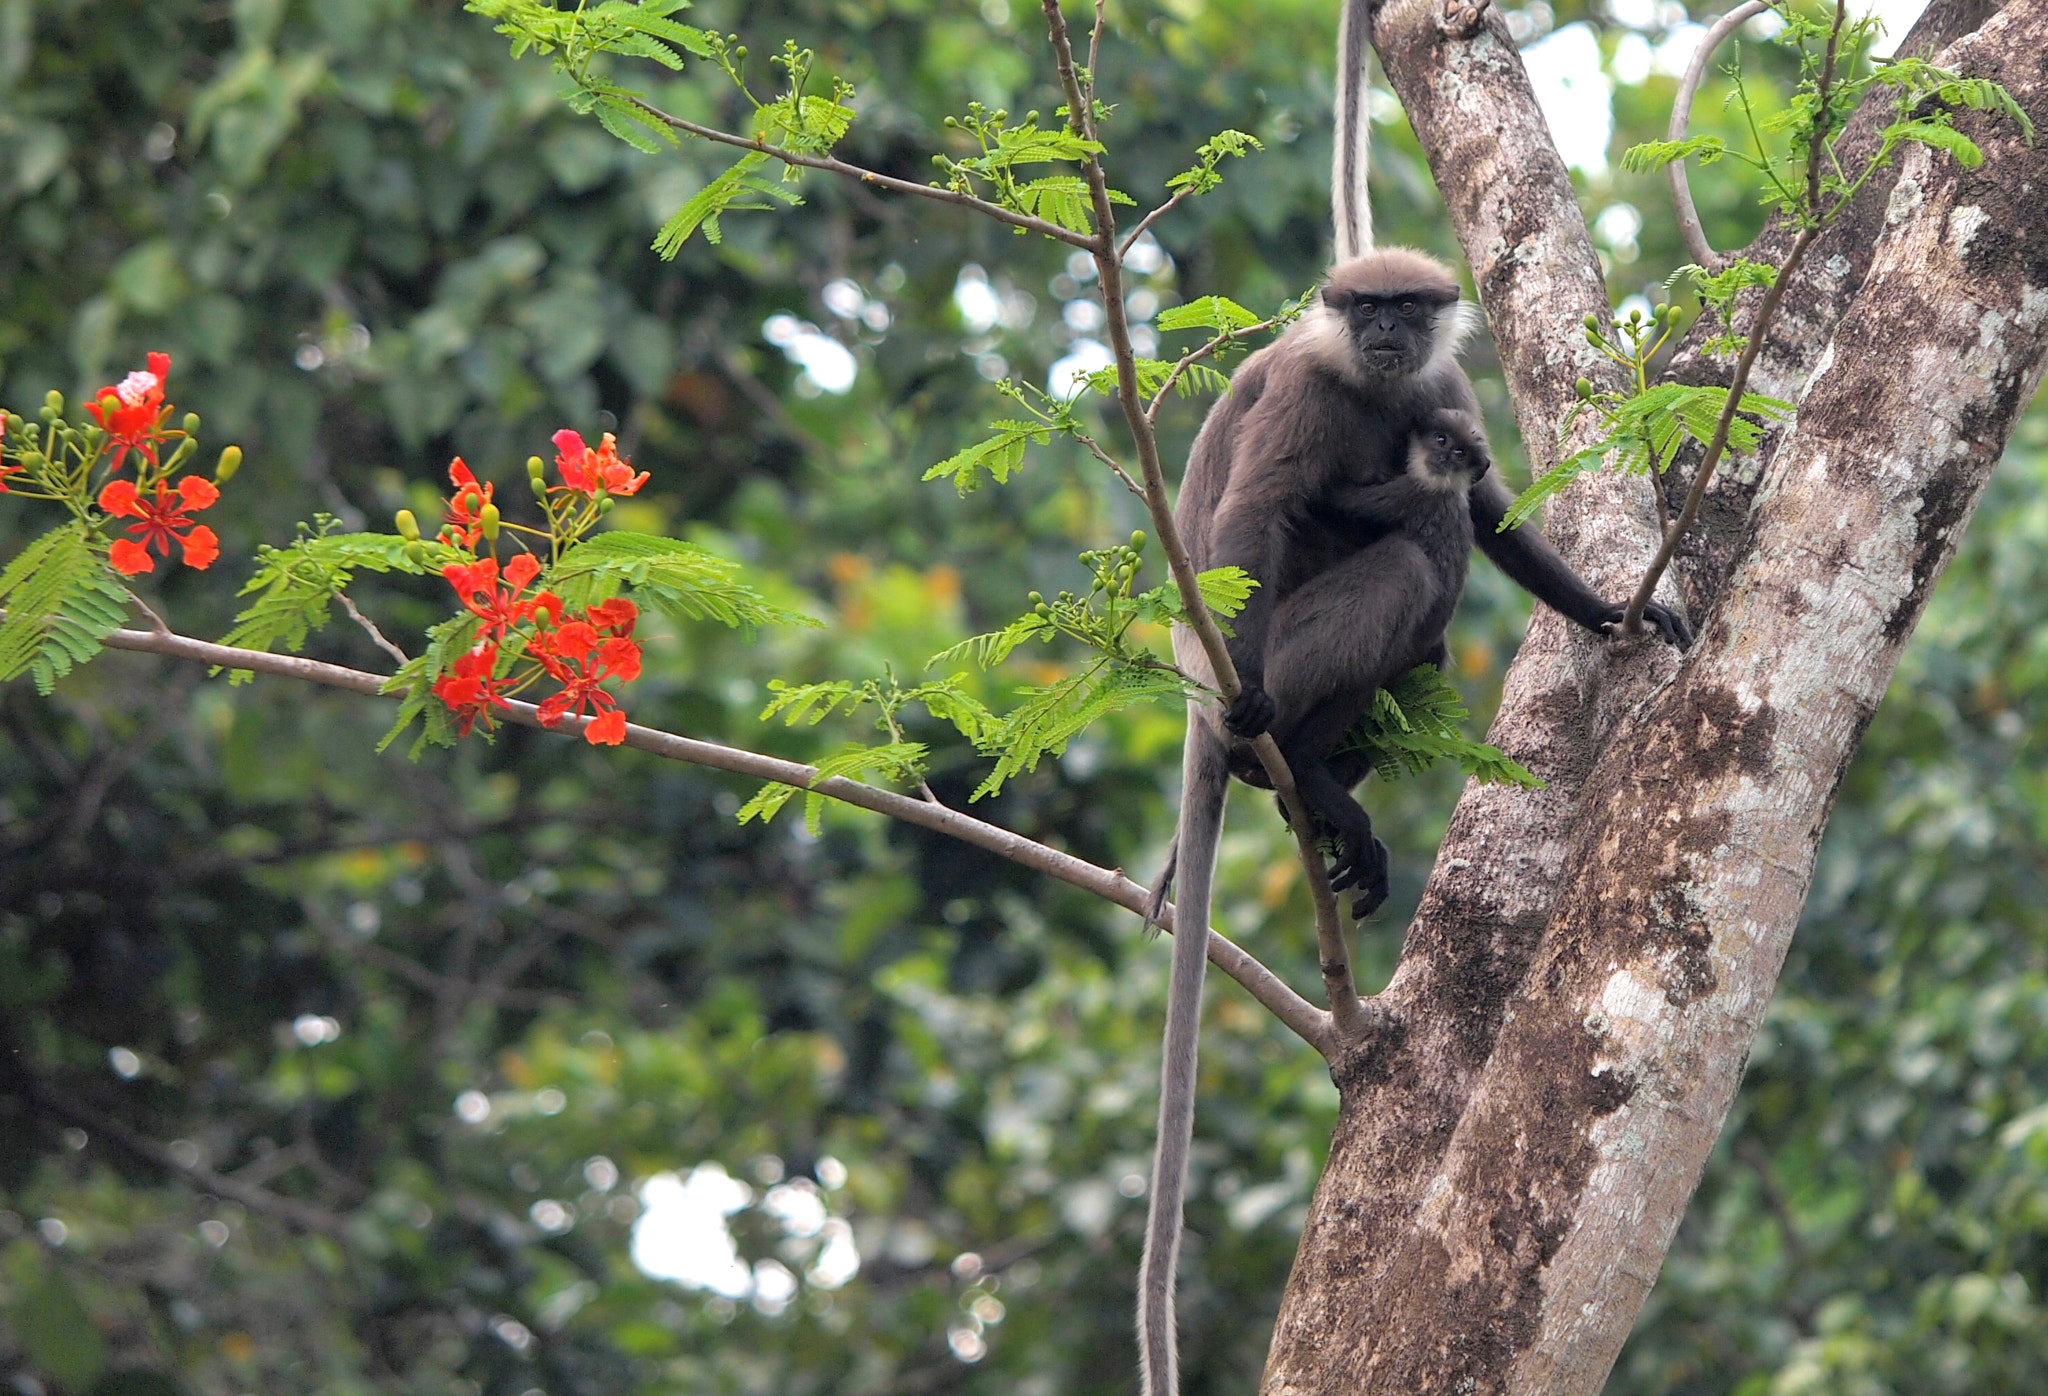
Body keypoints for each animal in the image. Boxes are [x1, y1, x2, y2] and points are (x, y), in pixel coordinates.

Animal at [1130, 2, 1687, 1383]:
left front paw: (1611, 611)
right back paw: (1282, 759)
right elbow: (1261, 514)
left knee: (1429, 605)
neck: (1378, 385)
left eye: (1405, 310)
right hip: (1257, 646)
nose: (1383, 332)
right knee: (1401, 561)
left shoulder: (1437, 396)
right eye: (1365, 307)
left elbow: (1485, 506)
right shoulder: (1313, 393)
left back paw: (1316, 792)